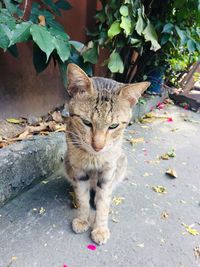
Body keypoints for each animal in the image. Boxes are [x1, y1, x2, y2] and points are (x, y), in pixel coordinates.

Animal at [64, 63, 150, 246]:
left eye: (113, 126)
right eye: (86, 122)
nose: (98, 146)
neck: (94, 157)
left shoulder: (108, 171)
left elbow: (104, 202)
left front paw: (100, 229)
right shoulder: (79, 170)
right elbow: (83, 198)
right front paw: (82, 219)